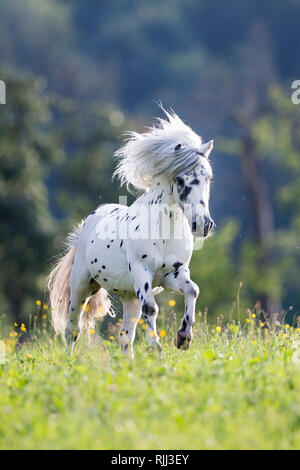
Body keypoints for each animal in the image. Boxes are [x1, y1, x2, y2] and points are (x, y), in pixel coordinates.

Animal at [48, 106, 214, 356]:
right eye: (181, 179)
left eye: (208, 177)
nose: (203, 224)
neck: (164, 232)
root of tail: (90, 220)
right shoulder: (142, 271)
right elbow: (152, 308)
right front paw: (156, 348)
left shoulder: (173, 274)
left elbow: (192, 291)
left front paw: (183, 338)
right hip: (81, 285)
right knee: (72, 329)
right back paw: (69, 360)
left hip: (129, 297)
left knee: (125, 336)